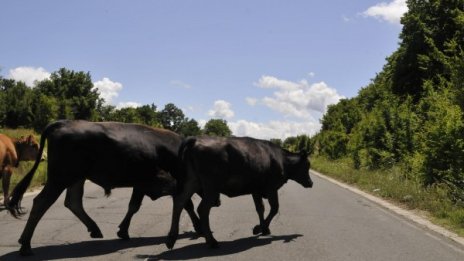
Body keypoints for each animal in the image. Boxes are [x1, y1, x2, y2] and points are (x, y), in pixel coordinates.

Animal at [6, 121, 199, 255]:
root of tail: (62, 122)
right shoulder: (166, 182)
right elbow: (186, 203)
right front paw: (198, 227)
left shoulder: (142, 184)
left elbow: (133, 206)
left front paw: (123, 231)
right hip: (60, 178)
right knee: (41, 202)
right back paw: (25, 246)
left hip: (77, 178)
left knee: (73, 202)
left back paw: (95, 229)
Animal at [165, 136, 314, 248]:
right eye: (307, 165)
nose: (311, 183)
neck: (281, 160)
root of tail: (196, 140)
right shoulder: (271, 188)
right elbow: (274, 208)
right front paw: (260, 228)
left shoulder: (256, 190)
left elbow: (260, 208)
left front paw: (262, 228)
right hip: (211, 187)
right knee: (202, 209)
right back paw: (212, 241)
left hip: (193, 181)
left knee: (180, 201)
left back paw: (171, 239)